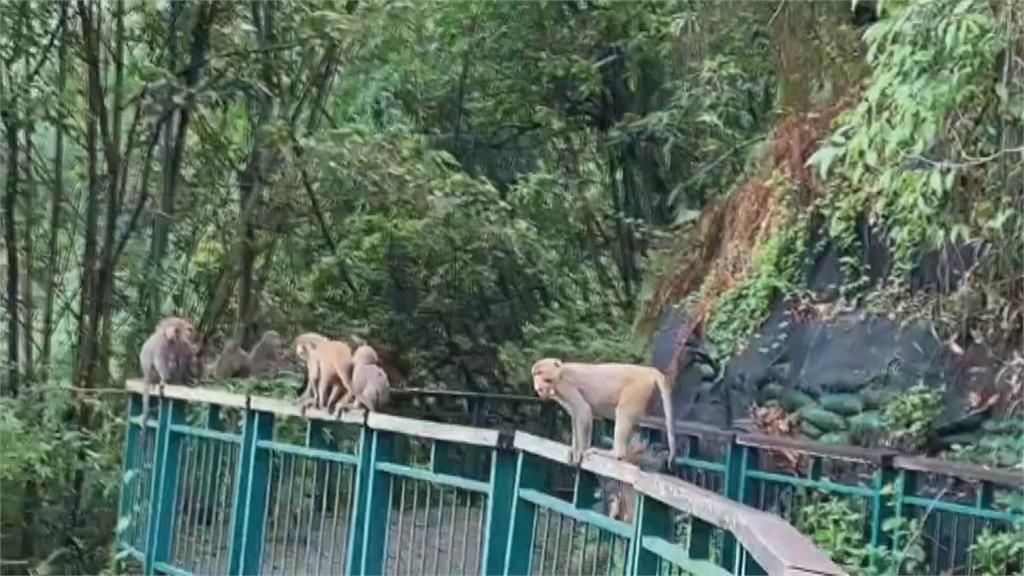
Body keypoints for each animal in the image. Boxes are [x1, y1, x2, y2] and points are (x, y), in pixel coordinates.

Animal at [528, 358, 679, 467]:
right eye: (535, 374)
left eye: (541, 373)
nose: (538, 387)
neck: (559, 374)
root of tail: (647, 371)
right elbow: (576, 415)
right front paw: (574, 448)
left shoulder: (565, 386)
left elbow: (583, 410)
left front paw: (579, 450)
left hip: (636, 390)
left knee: (623, 413)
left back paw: (615, 453)